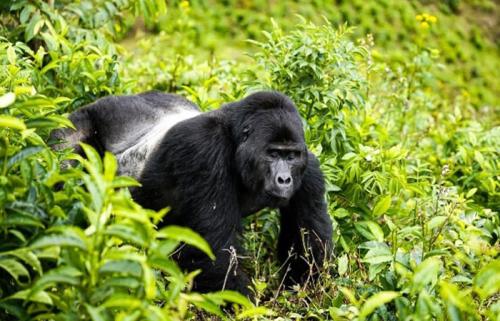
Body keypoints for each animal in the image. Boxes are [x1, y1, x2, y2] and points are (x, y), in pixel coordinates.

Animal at [51, 90, 332, 296]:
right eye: (273, 154)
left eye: (291, 156)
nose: (284, 179)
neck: (233, 140)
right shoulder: (203, 149)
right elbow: (212, 251)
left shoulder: (308, 170)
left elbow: (308, 247)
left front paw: (304, 293)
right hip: (88, 120)